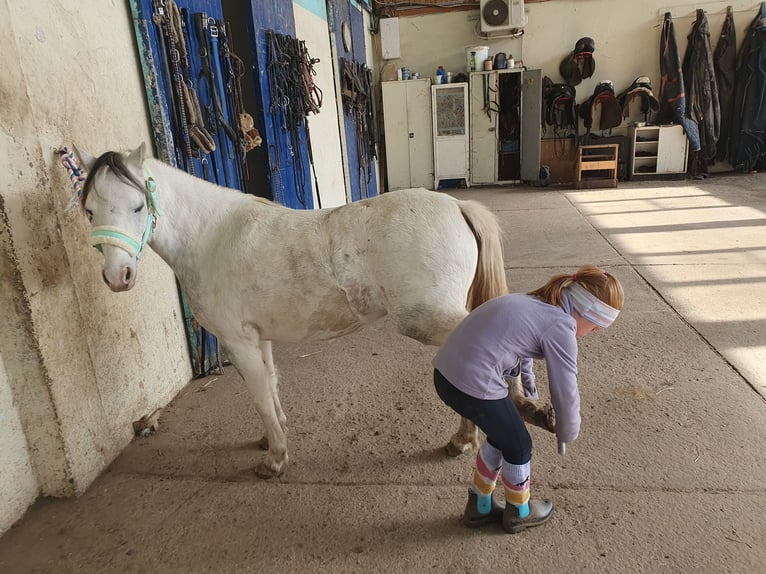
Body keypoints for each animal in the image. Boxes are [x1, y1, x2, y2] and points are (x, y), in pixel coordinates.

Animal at [79, 145, 552, 482]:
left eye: (138, 206)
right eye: (89, 211)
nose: (118, 276)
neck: (213, 236)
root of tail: (456, 206)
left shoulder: (238, 341)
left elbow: (259, 396)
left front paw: (275, 461)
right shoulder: (258, 338)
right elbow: (270, 388)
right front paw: (272, 438)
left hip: (426, 318)